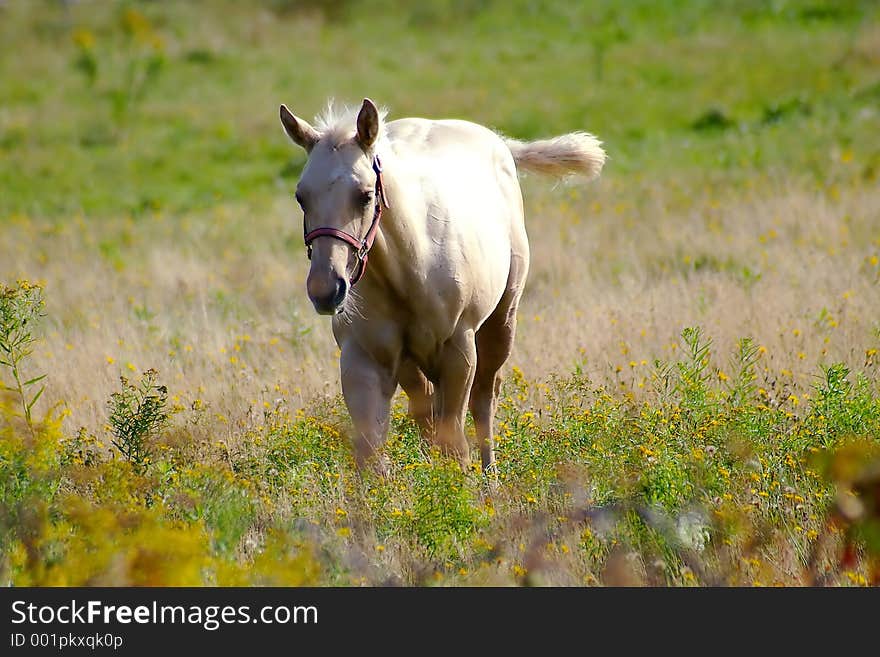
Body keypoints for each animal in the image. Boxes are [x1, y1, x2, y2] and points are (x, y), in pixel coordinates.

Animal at [280, 98, 604, 472]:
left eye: (364, 195)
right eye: (301, 197)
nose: (326, 290)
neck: (410, 270)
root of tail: (499, 143)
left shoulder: (458, 350)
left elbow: (455, 443)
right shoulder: (362, 358)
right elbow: (372, 453)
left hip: (501, 322)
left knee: (484, 400)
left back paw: (490, 474)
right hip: (411, 364)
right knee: (424, 409)